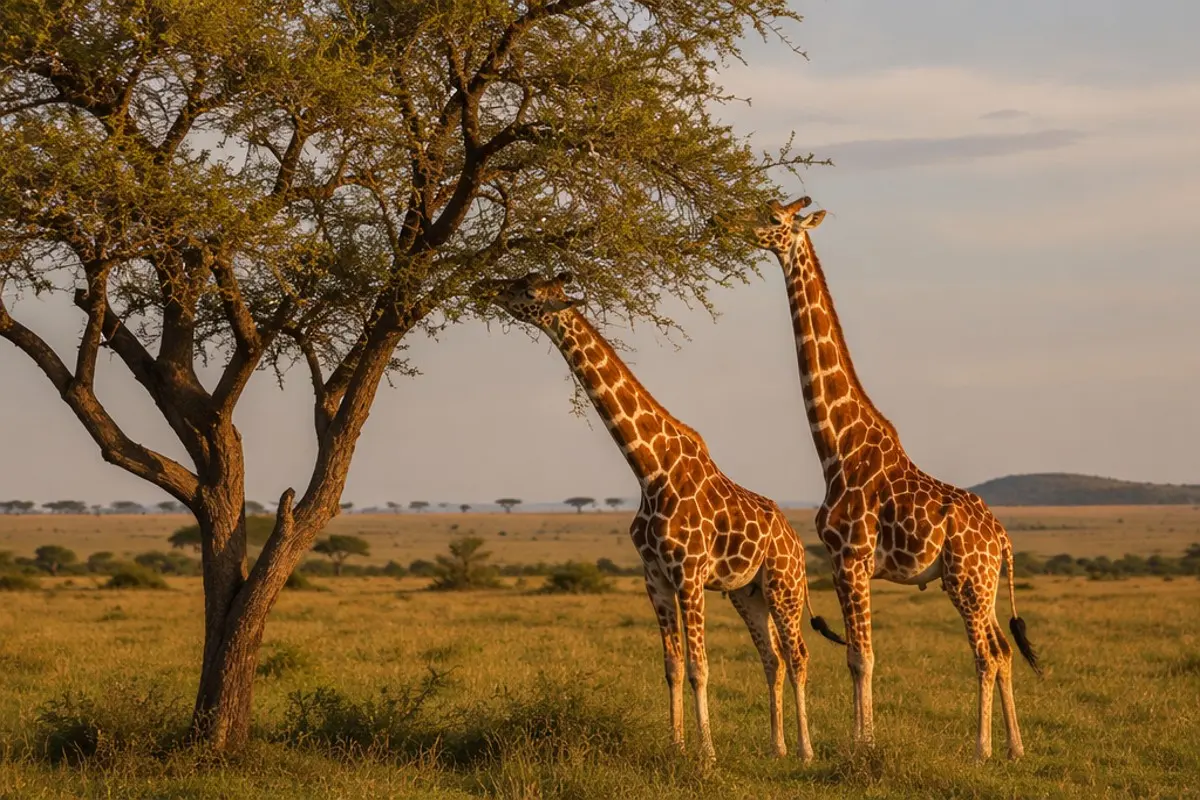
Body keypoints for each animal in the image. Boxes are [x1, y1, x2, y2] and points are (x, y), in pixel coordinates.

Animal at [479, 271, 845, 763]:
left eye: (530, 292)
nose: (487, 286)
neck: (650, 469)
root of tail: (795, 540)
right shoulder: (653, 576)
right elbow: (672, 665)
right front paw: (676, 746)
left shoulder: (689, 574)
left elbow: (699, 667)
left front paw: (706, 755)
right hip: (747, 592)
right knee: (773, 658)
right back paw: (777, 747)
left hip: (783, 584)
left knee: (799, 654)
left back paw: (805, 750)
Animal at [750, 197, 1042, 761]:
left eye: (774, 218)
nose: (728, 224)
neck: (836, 446)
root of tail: (1001, 538)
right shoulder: (847, 563)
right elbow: (860, 654)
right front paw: (862, 738)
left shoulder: (851, 558)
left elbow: (860, 656)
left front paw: (861, 743)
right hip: (986, 583)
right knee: (1002, 649)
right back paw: (1016, 747)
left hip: (965, 580)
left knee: (986, 654)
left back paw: (982, 748)